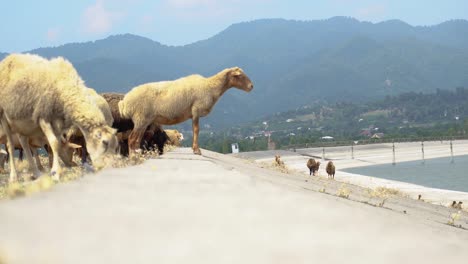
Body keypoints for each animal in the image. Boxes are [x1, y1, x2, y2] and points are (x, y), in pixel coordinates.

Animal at [0, 53, 119, 182]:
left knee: (24, 143)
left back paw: (36, 173)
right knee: (10, 146)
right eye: (105, 142)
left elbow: (56, 145)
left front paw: (55, 170)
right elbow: (54, 143)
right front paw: (56, 172)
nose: (109, 169)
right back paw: (13, 176)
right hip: (4, 117)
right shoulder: (43, 116)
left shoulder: (58, 123)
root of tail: (8, 57)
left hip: (23, 123)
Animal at [119, 67, 254, 156]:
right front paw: (197, 150)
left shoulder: (194, 113)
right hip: (141, 118)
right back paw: (134, 156)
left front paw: (195, 149)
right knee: (131, 138)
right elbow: (196, 130)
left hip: (143, 120)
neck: (210, 87)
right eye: (239, 76)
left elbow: (195, 130)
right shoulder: (196, 110)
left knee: (137, 139)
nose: (251, 86)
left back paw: (139, 153)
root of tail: (125, 102)